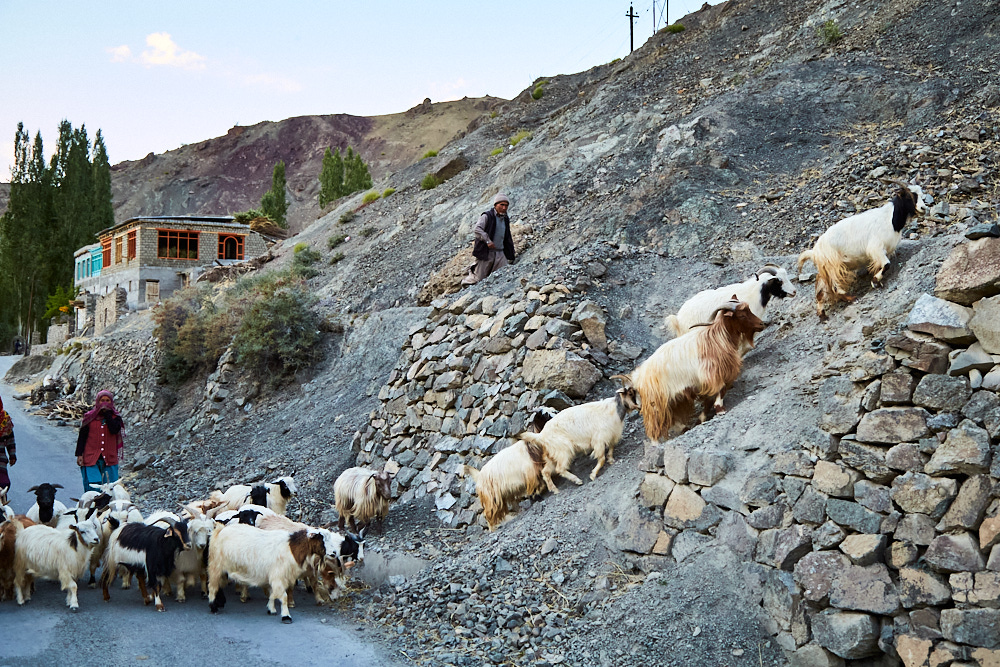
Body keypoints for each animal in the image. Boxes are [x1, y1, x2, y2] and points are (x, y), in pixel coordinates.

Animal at [624, 300, 764, 440]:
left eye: (749, 310)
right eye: (742, 315)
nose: (762, 324)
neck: (717, 338)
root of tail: (638, 377)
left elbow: (709, 399)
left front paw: (701, 419)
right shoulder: (712, 376)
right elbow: (719, 390)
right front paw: (720, 410)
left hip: (672, 399)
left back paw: (685, 428)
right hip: (656, 403)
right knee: (657, 425)